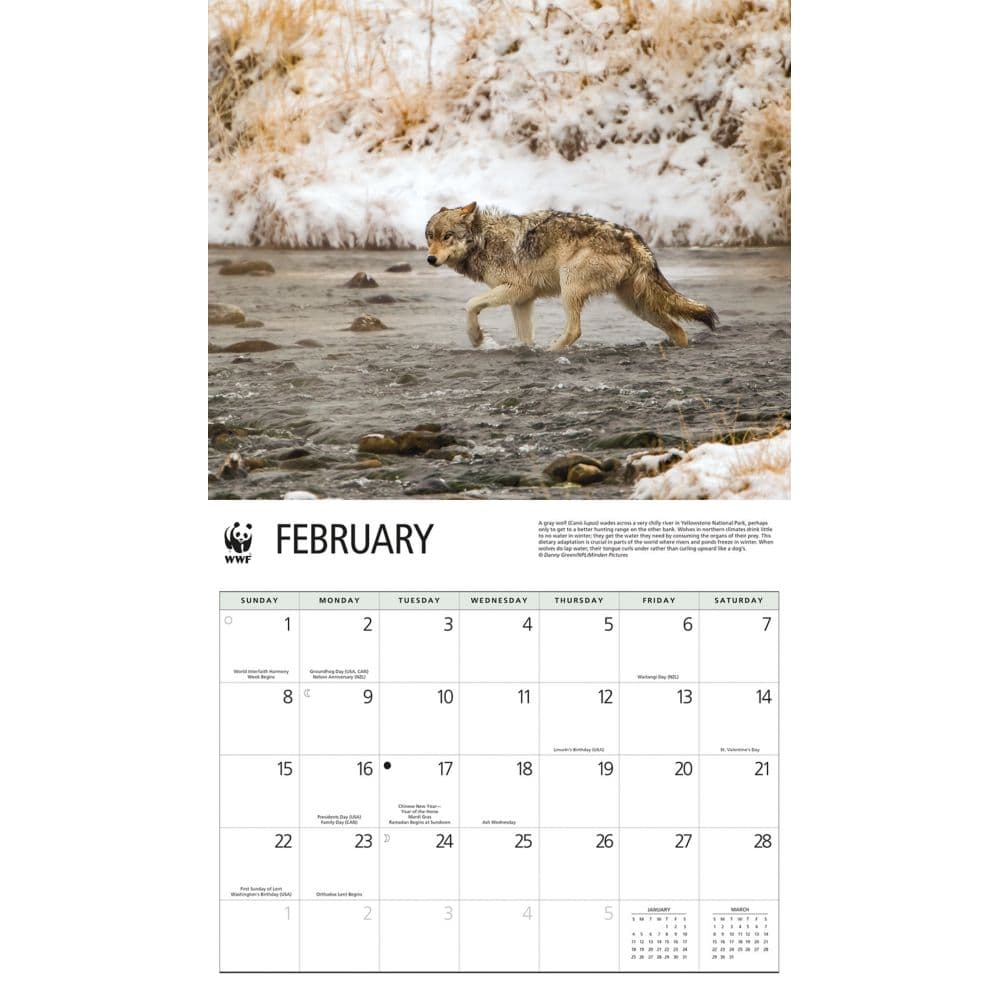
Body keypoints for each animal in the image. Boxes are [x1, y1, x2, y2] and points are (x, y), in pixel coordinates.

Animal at [425, 203, 718, 350]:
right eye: (429, 237)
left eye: (447, 236)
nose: (430, 259)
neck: (484, 239)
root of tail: (634, 239)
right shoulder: (522, 301)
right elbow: (524, 339)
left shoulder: (517, 290)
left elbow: (470, 304)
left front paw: (476, 338)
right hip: (637, 305)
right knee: (678, 328)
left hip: (570, 286)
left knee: (575, 330)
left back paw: (552, 350)